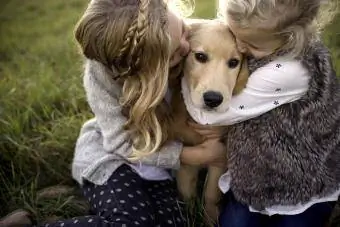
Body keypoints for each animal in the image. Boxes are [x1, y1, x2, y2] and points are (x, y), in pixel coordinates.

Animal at [171, 19, 248, 225]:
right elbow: (187, 193)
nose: (213, 99)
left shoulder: (218, 160)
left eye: (233, 62)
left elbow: (211, 195)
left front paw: (210, 220)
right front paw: (189, 217)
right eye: (200, 56)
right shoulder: (187, 160)